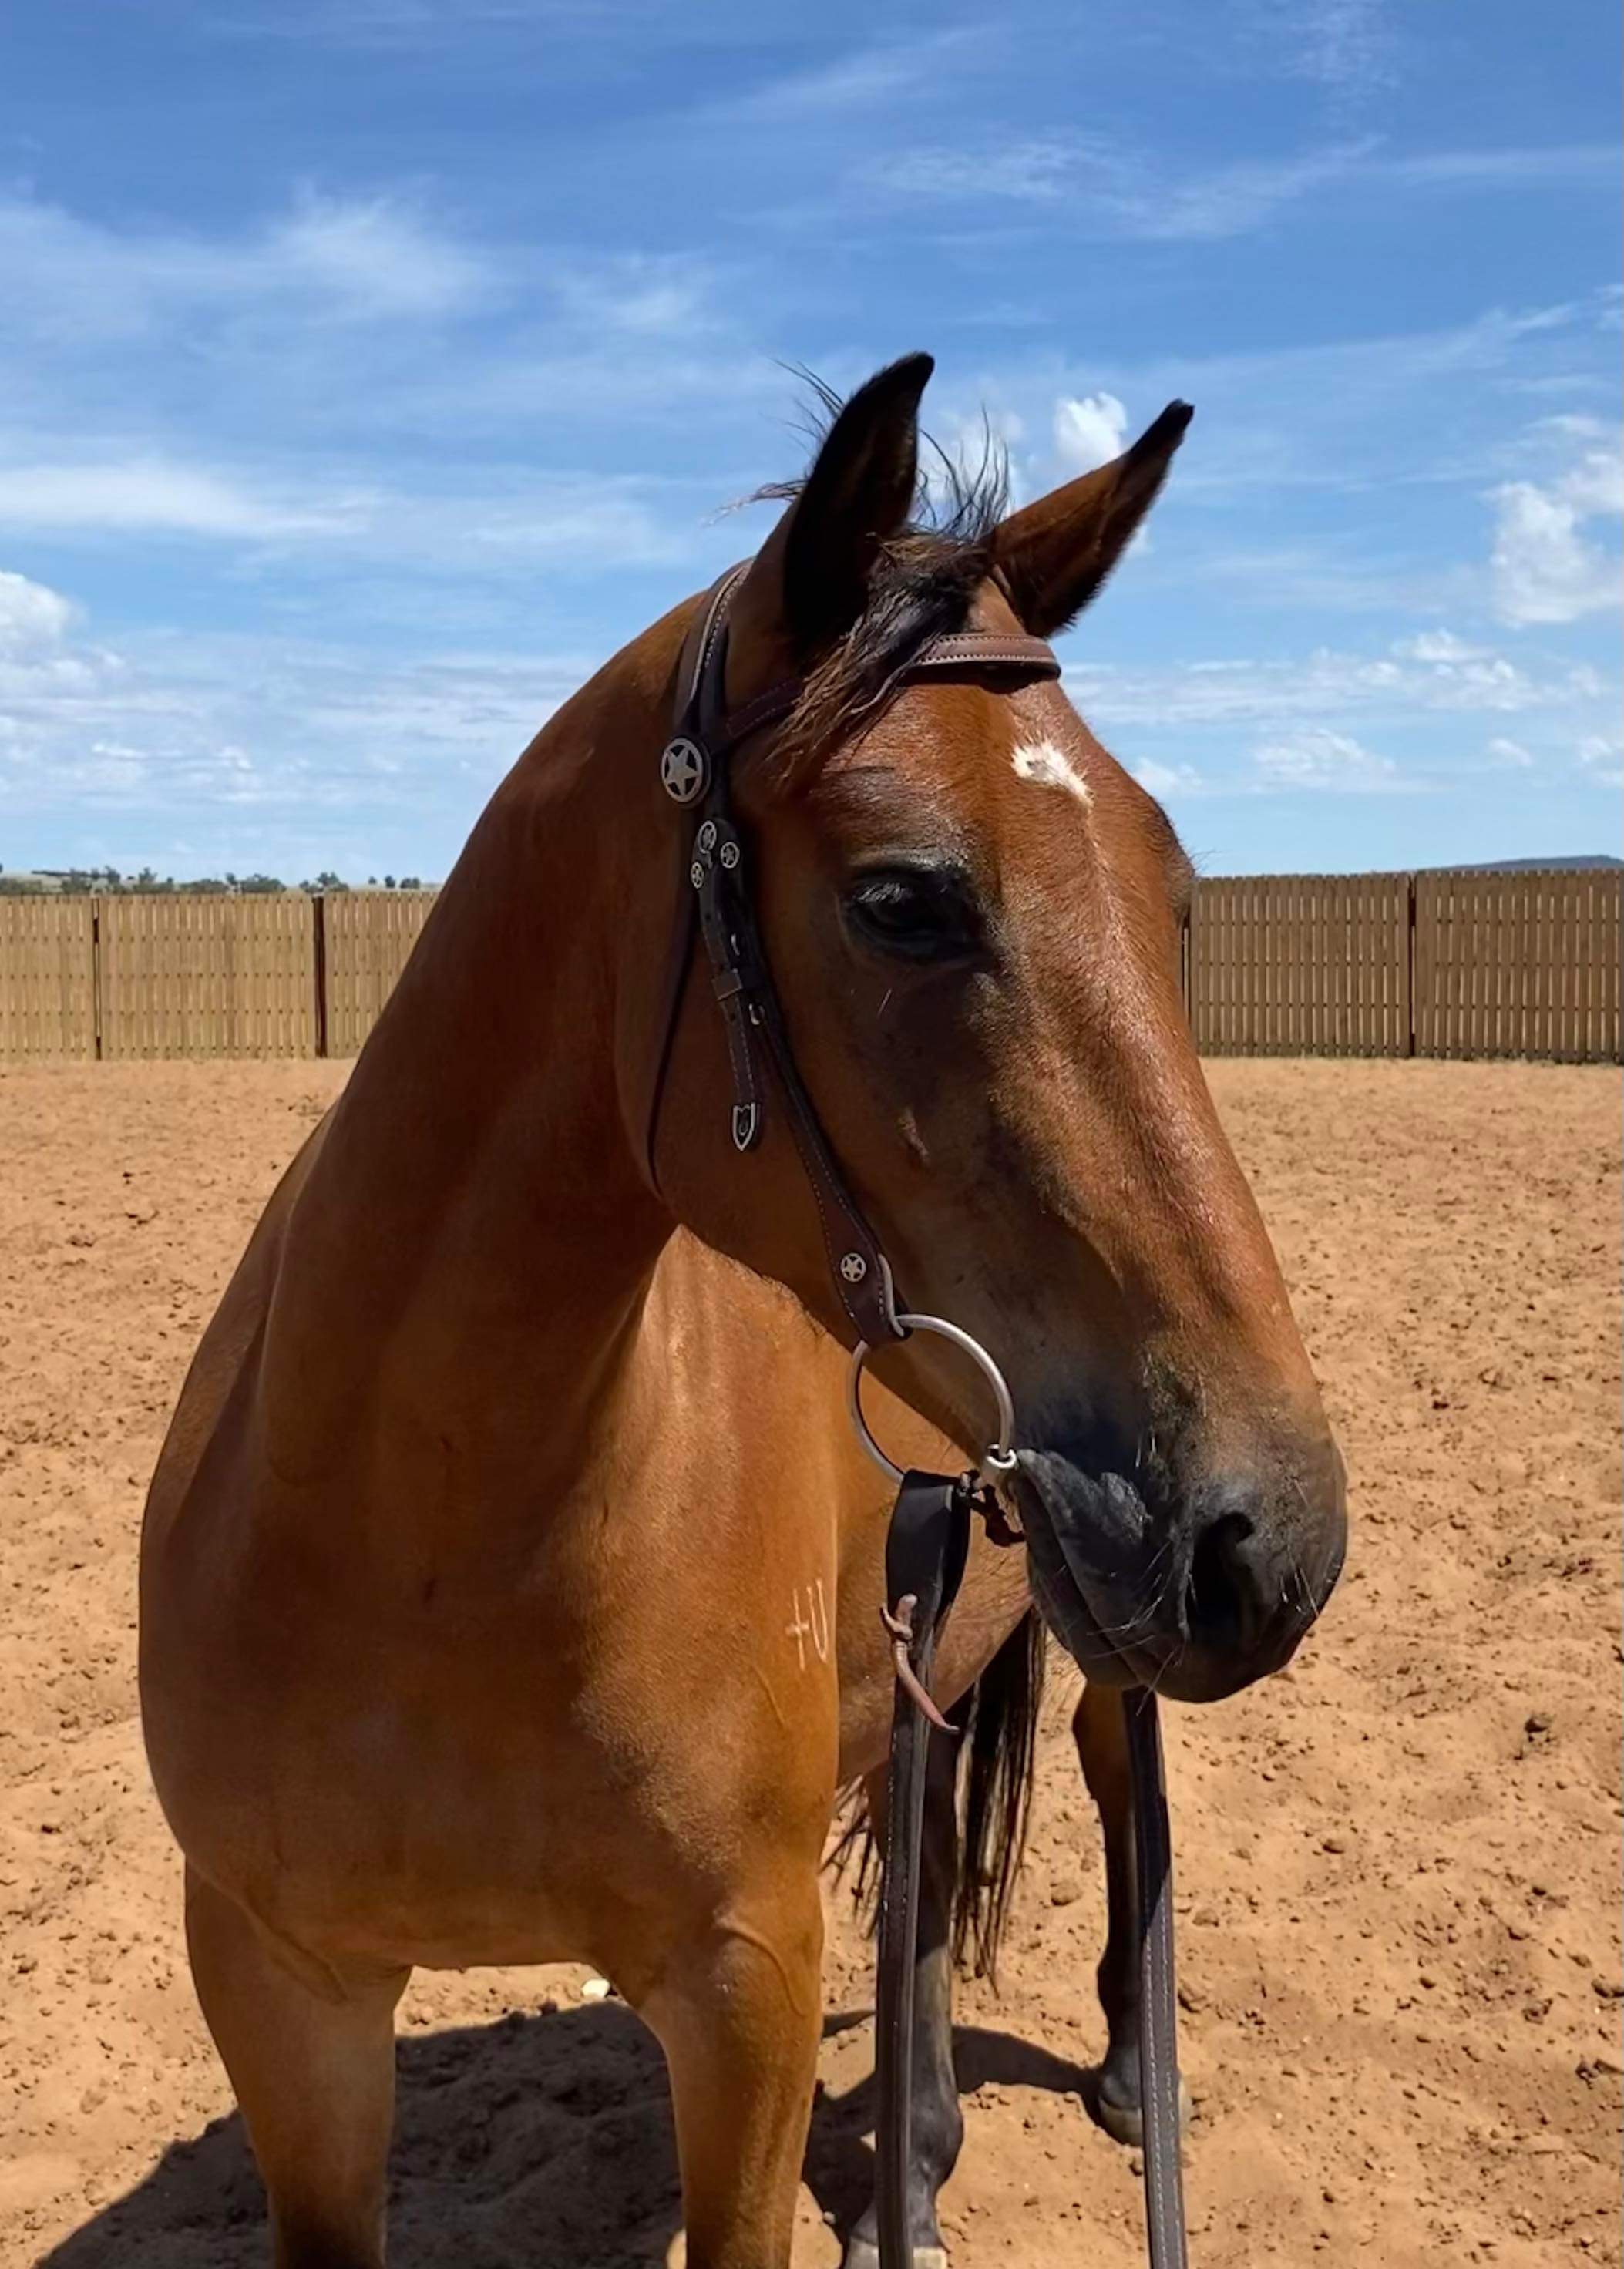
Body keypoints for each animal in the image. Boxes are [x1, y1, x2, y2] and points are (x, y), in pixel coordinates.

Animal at [139, 352, 1346, 2269]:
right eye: (902, 898)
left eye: (1173, 896)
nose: (1275, 1531)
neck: (412, 1537)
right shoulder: (282, 1988)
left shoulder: (744, 1993)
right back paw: (913, 2160)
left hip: (1095, 1637)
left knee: (1112, 1785)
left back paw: (1122, 2072)